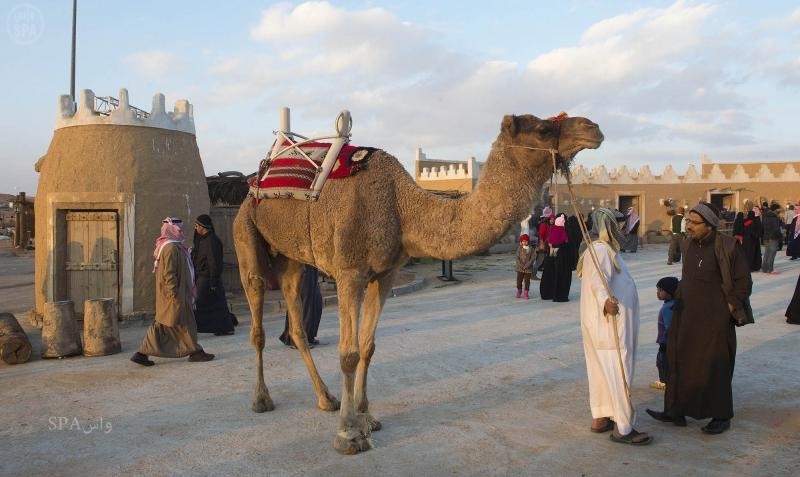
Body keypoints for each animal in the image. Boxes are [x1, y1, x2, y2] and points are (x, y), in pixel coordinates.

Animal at [234, 112, 604, 454]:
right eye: (542, 128)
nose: (593, 127)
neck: (401, 207)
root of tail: (255, 182)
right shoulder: (349, 272)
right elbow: (348, 353)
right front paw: (348, 434)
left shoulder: (384, 275)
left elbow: (368, 346)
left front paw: (367, 418)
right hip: (246, 235)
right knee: (257, 321)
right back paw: (261, 399)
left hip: (291, 257)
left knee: (296, 322)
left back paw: (326, 398)